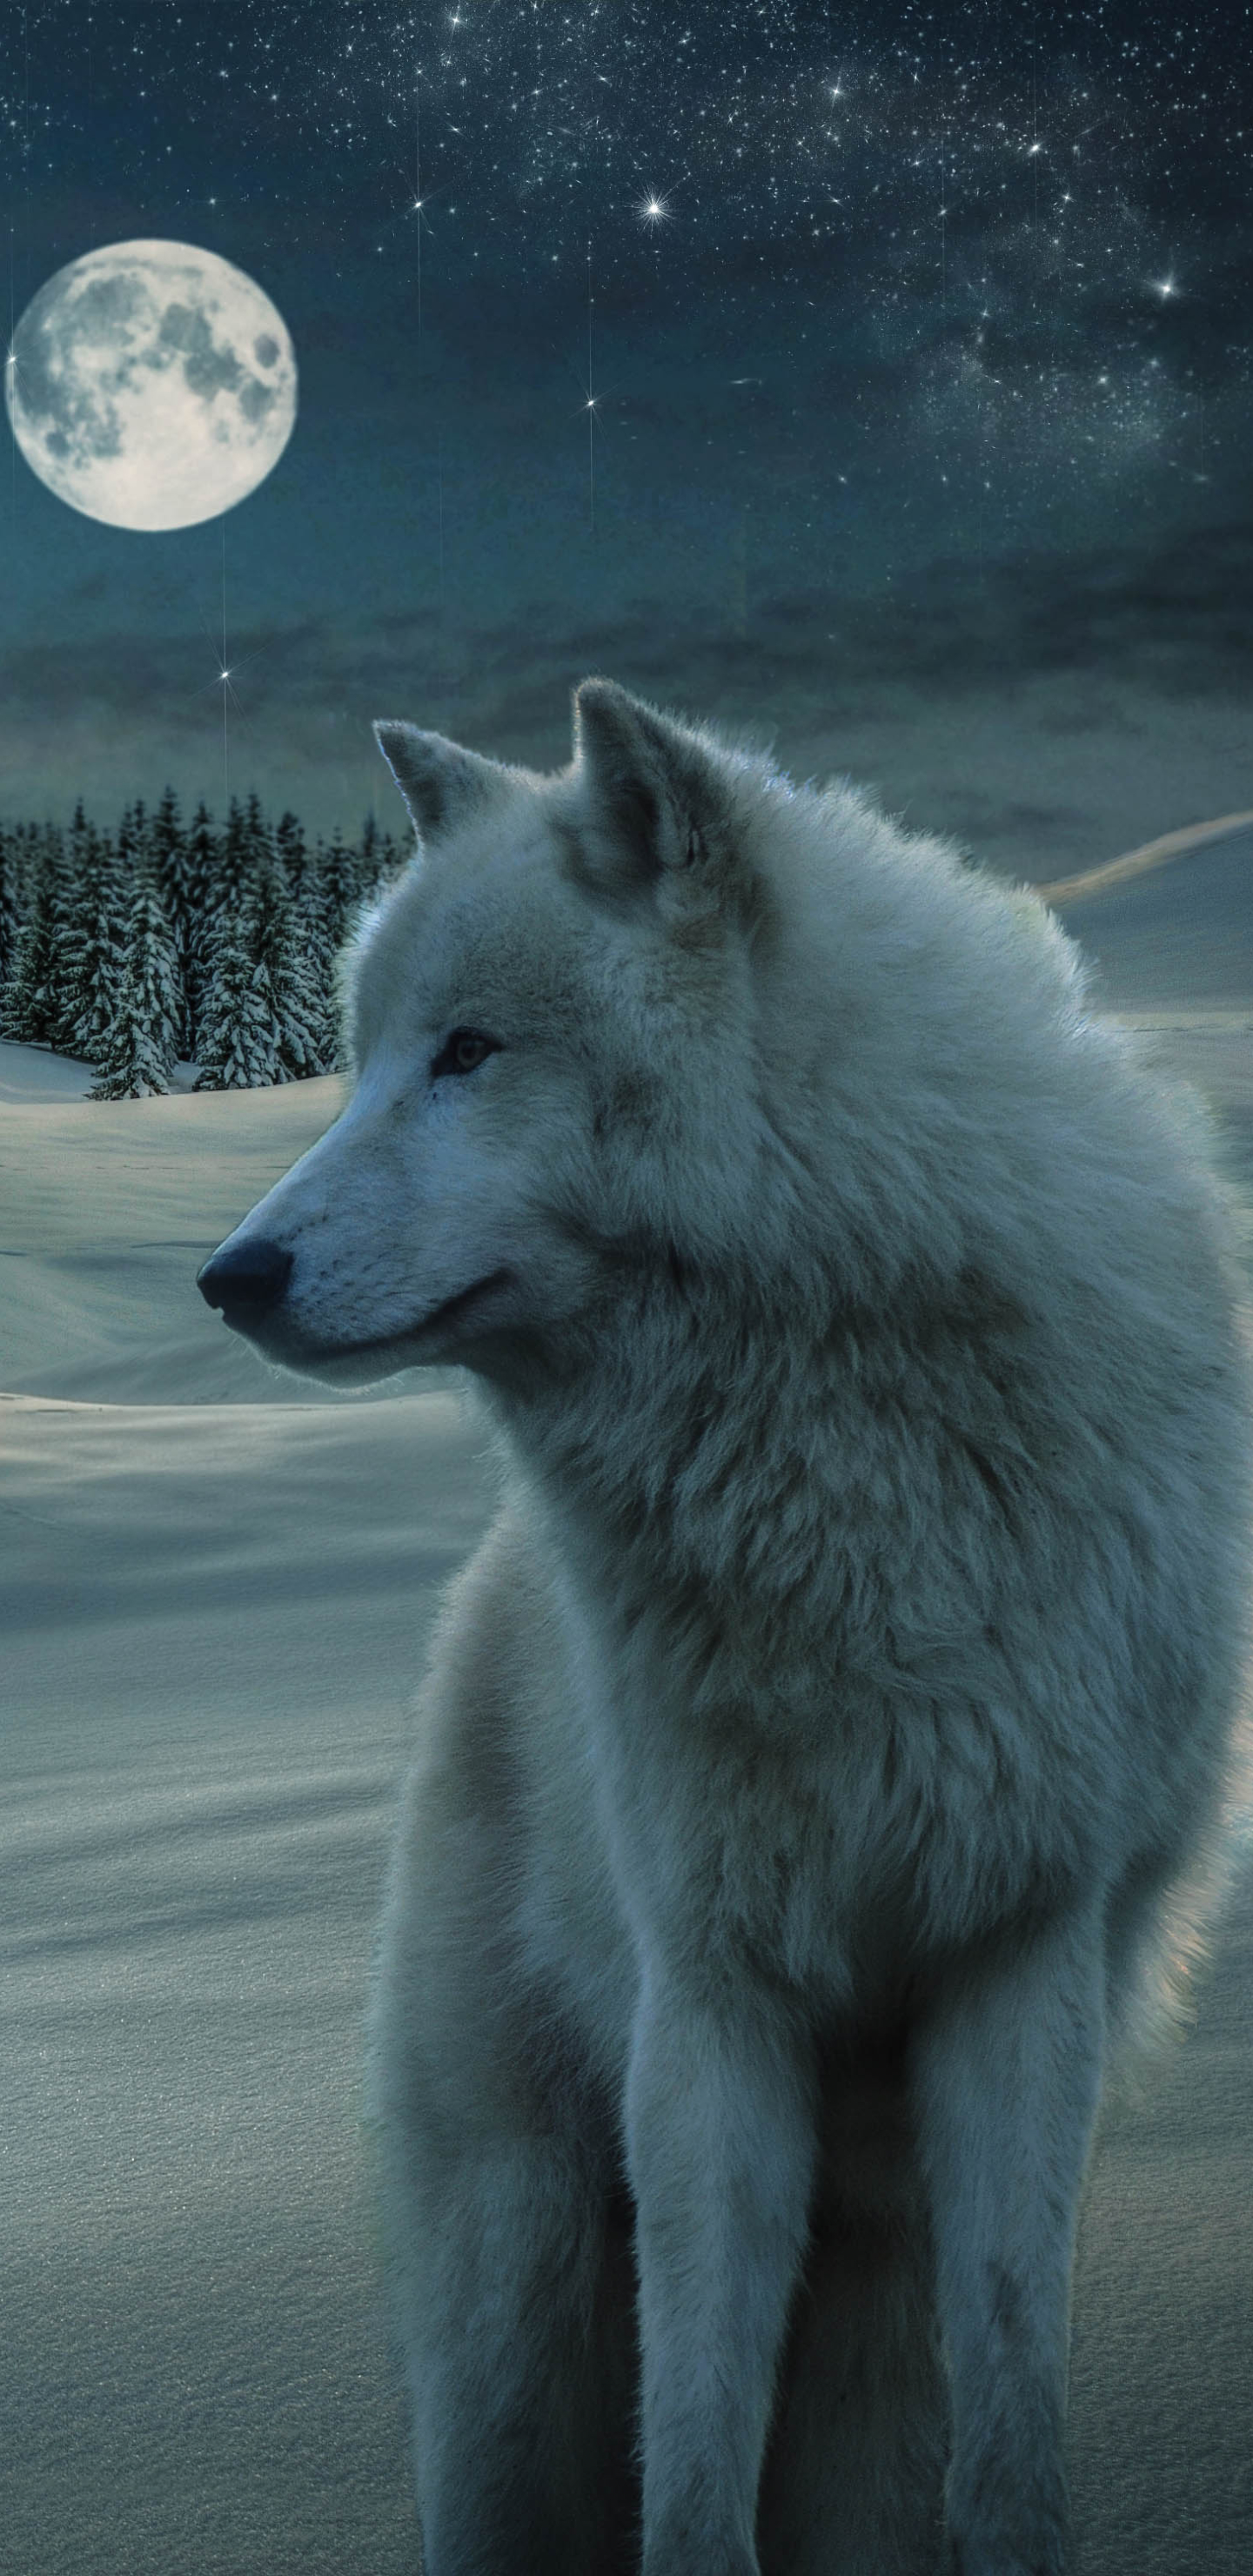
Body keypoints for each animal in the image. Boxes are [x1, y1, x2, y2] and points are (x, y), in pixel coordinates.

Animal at [198, 680, 1253, 2576]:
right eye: (367, 1052)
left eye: (470, 1052)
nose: (230, 1277)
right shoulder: (709, 1998)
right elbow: (692, 2457)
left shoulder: (1022, 1958)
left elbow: (1012, 2421)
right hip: (518, 2289)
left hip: (869, 2294)